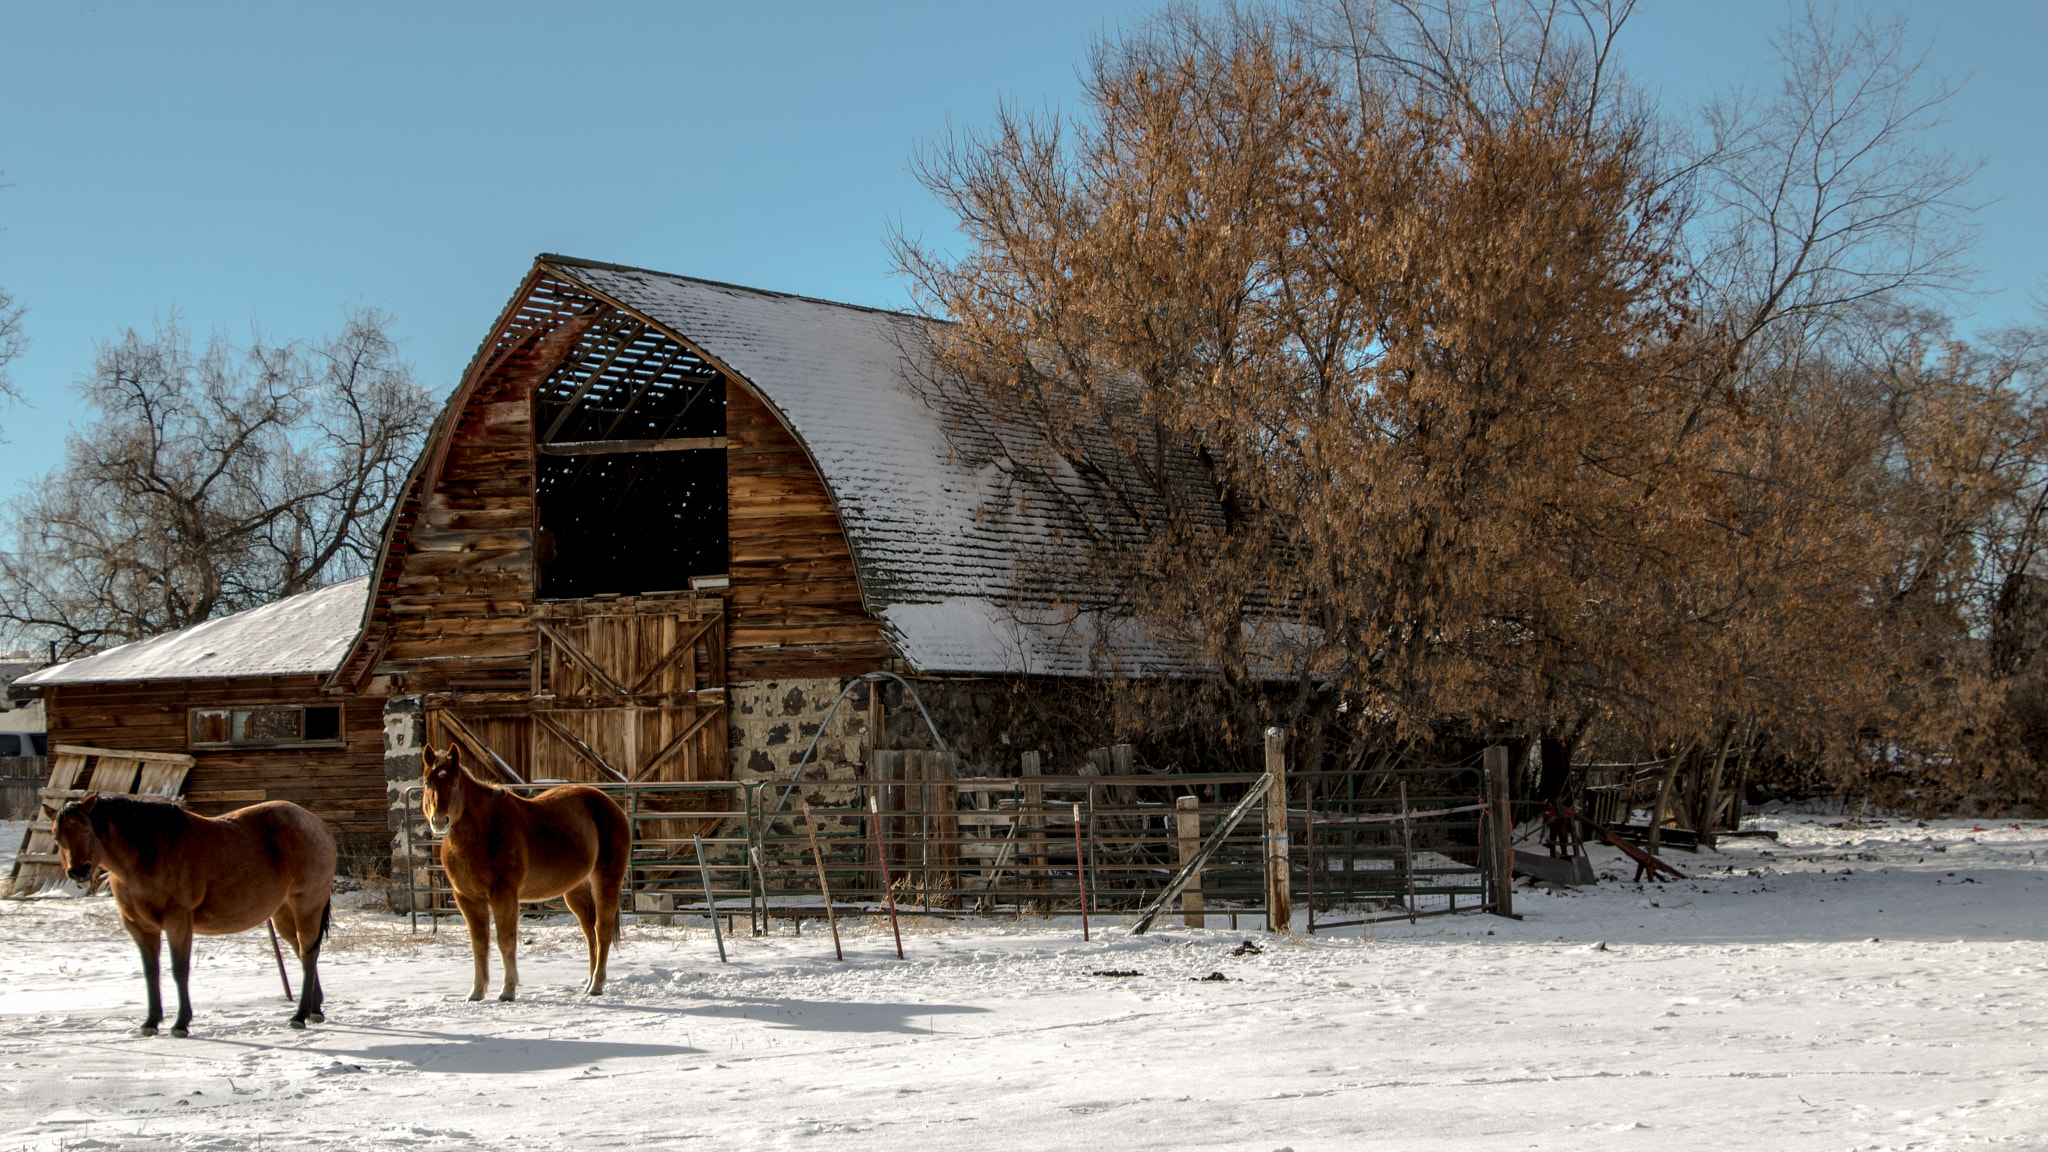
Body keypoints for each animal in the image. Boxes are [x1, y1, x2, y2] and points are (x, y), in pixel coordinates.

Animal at [47, 793, 335, 1037]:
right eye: (57, 838)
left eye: (86, 829)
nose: (78, 872)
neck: (148, 854)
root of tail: (317, 824)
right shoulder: (140, 928)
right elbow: (151, 972)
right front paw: (151, 1022)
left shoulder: (178, 923)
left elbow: (179, 971)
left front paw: (181, 1023)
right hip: (283, 915)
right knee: (303, 952)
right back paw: (314, 1009)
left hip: (306, 906)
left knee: (308, 954)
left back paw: (299, 1015)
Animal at [420, 745, 630, 1001]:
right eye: (427, 783)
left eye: (455, 782)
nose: (440, 821)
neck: (484, 831)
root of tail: (612, 806)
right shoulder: (467, 898)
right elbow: (479, 943)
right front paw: (477, 991)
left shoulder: (504, 894)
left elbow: (505, 940)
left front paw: (507, 990)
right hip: (577, 889)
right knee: (589, 931)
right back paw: (589, 983)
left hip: (606, 880)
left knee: (602, 930)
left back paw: (597, 985)